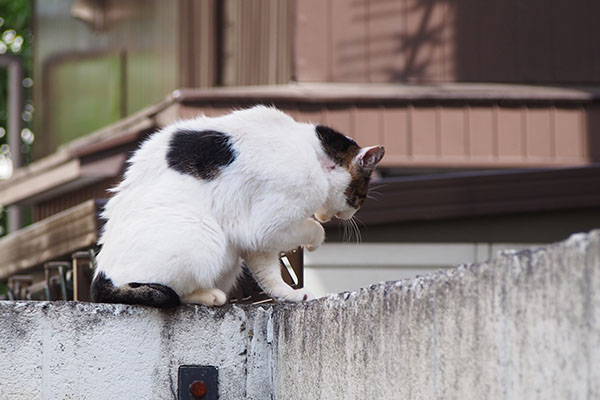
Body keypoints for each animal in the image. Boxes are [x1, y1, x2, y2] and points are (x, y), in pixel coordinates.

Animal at [92, 105, 386, 306]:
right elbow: (311, 229)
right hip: (204, 236)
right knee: (171, 292)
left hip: (228, 255)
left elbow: (269, 274)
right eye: (359, 197)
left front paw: (289, 294)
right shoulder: (266, 226)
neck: (313, 155)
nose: (352, 213)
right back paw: (210, 296)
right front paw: (315, 239)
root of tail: (100, 275)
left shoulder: (254, 240)